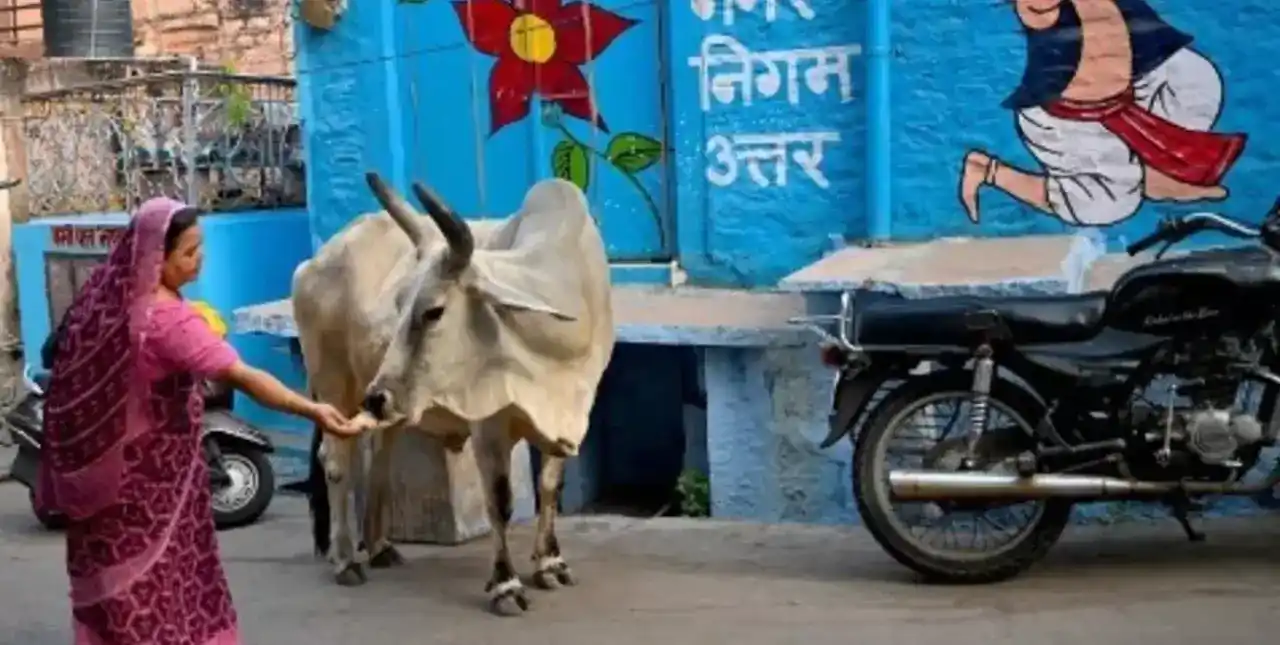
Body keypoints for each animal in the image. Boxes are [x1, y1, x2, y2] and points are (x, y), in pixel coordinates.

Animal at [292, 172, 615, 616]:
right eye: (398, 304)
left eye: (433, 311)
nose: (378, 396)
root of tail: (317, 258)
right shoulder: (488, 425)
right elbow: (499, 500)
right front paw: (505, 585)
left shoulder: (569, 416)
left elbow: (551, 485)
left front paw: (551, 563)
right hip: (334, 382)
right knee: (337, 461)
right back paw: (344, 560)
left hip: (387, 405)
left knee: (380, 457)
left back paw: (379, 547)